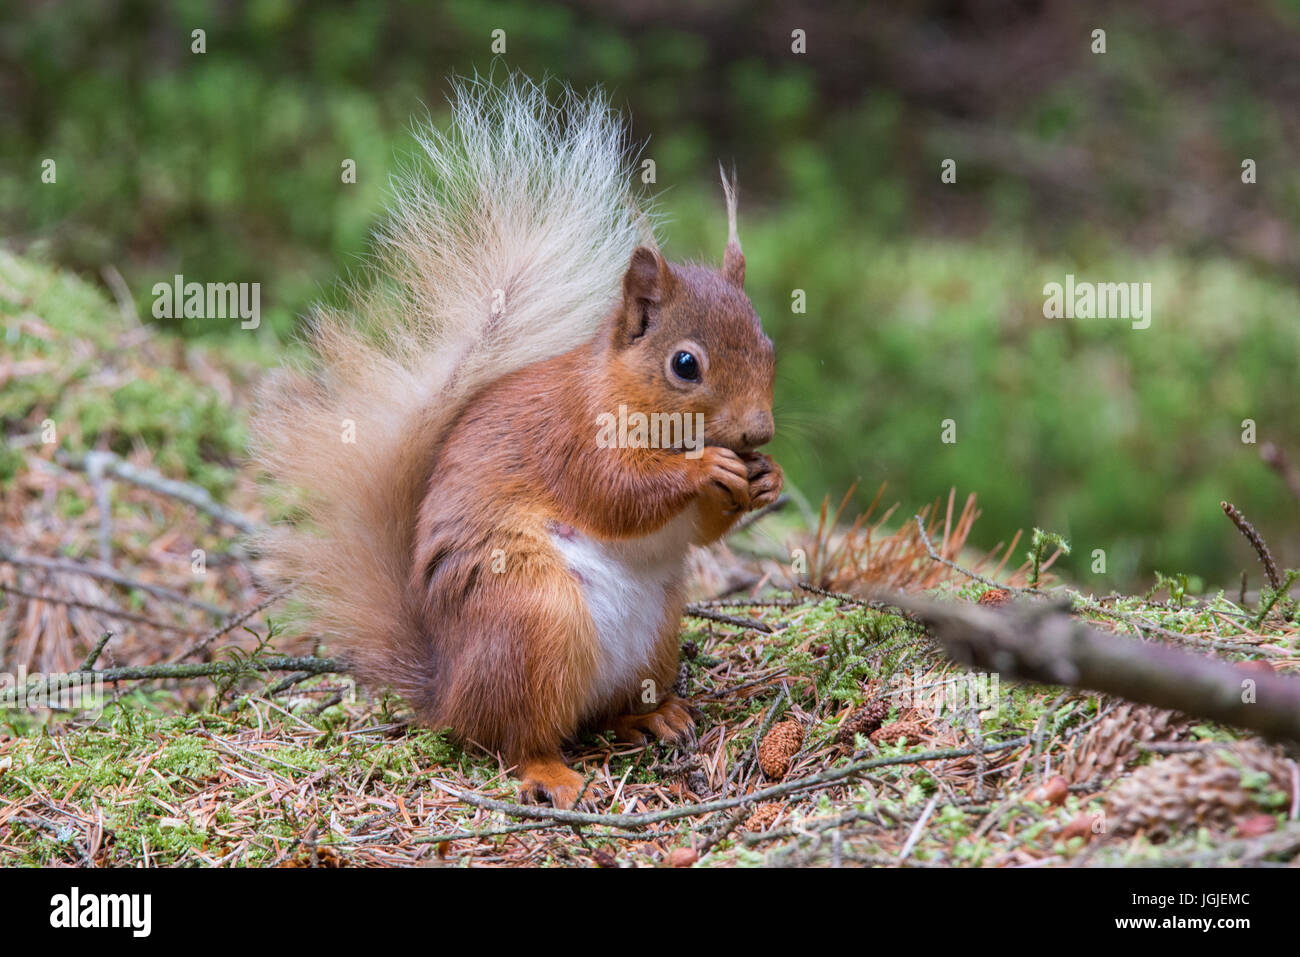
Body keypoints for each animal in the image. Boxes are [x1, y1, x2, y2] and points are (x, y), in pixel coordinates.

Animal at [253, 74, 780, 806]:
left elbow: (697, 531)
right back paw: (554, 775)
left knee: (600, 715)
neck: (616, 390)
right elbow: (618, 494)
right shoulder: (570, 437)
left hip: (656, 633)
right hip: (532, 620)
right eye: (685, 364)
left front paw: (765, 479)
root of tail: (448, 692)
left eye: (770, 346)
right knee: (515, 738)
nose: (759, 431)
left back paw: (652, 716)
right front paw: (705, 469)